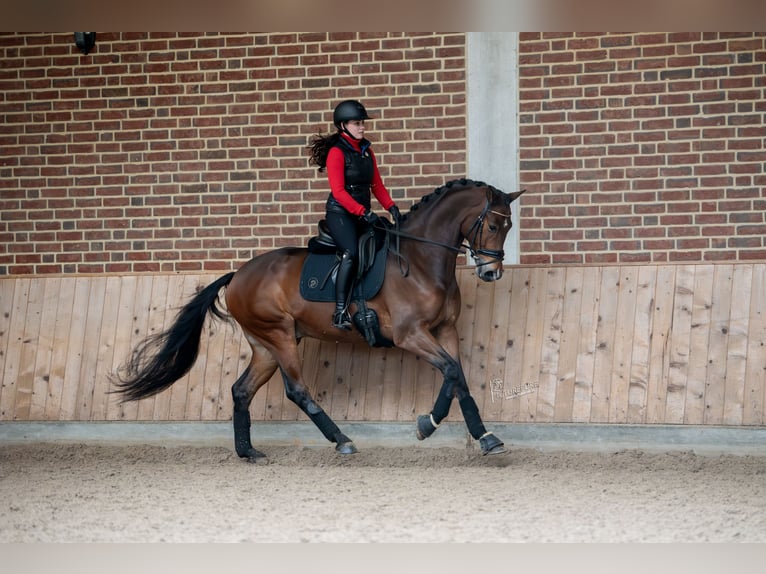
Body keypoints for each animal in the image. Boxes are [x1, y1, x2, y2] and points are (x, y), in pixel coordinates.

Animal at [114, 178, 528, 462]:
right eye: (493, 225)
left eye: (508, 227)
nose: (491, 273)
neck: (421, 261)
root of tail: (238, 275)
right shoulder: (411, 334)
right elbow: (452, 372)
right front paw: (432, 425)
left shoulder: (445, 330)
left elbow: (457, 378)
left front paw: (480, 435)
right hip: (279, 335)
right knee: (297, 390)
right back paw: (342, 441)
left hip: (265, 346)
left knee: (241, 391)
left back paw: (248, 452)